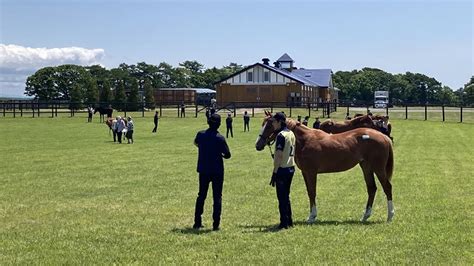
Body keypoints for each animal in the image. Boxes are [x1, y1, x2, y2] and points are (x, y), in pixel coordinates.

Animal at [258, 111, 394, 222]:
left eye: (269, 125)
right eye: (262, 124)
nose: (258, 144)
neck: (305, 140)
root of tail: (384, 137)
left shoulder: (311, 172)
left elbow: (312, 192)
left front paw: (312, 216)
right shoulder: (305, 172)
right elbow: (309, 192)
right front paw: (311, 215)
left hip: (378, 168)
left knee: (387, 187)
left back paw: (390, 215)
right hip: (366, 167)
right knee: (372, 188)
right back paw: (365, 216)